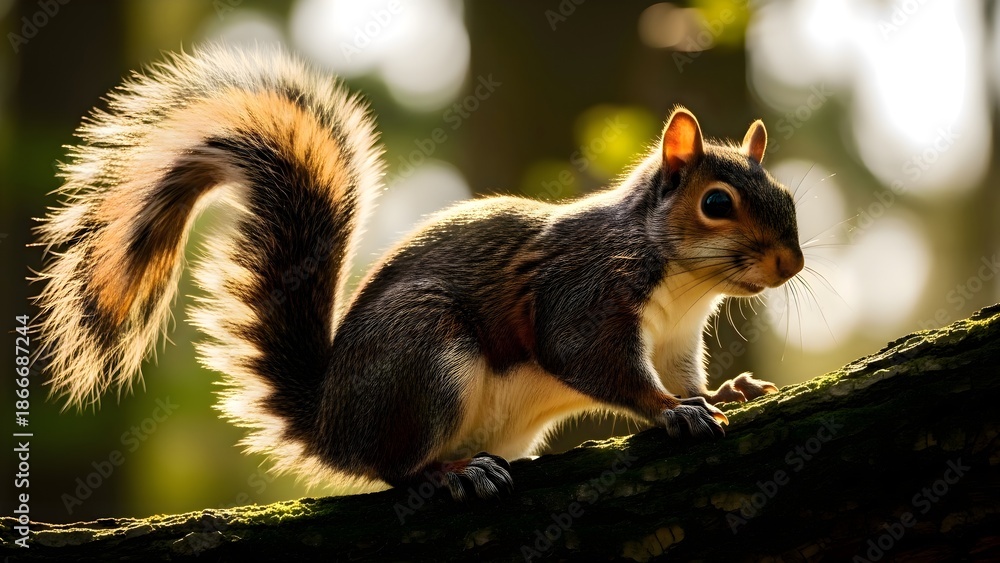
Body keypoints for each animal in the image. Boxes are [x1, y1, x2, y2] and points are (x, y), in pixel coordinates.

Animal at [33, 46, 803, 502]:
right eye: (716, 203)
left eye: (789, 196)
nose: (791, 262)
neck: (681, 282)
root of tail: (331, 422)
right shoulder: (581, 292)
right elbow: (591, 359)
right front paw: (671, 411)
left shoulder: (674, 338)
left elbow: (684, 374)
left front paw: (722, 391)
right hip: (423, 356)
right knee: (394, 468)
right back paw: (452, 471)